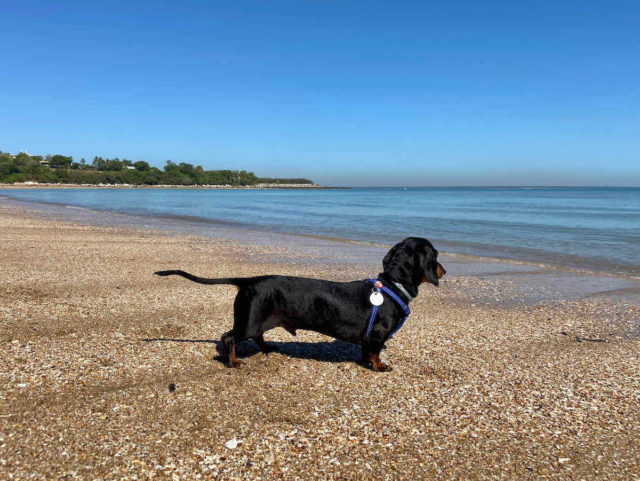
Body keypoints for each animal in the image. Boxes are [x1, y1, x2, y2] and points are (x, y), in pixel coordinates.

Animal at [155, 237, 444, 372]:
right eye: (436, 255)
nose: (444, 270)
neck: (393, 286)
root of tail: (249, 281)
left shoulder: (369, 337)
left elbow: (366, 351)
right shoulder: (377, 334)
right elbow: (374, 353)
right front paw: (379, 366)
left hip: (258, 321)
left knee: (257, 337)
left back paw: (267, 348)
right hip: (248, 323)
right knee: (228, 338)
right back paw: (233, 362)